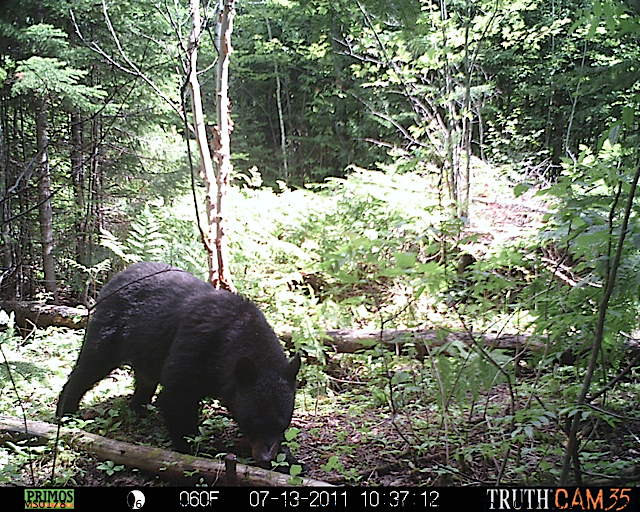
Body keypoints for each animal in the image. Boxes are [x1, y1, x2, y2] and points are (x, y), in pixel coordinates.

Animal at [56, 262, 302, 466]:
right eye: (253, 422)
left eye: (282, 424)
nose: (265, 458)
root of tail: (116, 277)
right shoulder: (197, 347)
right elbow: (177, 397)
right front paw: (191, 448)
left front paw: (288, 457)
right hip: (111, 328)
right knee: (90, 364)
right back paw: (65, 411)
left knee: (145, 377)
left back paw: (139, 407)